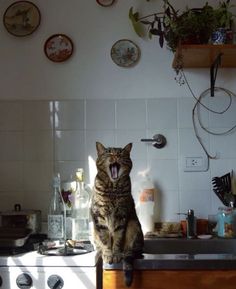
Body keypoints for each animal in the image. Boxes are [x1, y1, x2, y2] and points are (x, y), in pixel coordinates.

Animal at [90, 142, 144, 286]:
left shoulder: (122, 216)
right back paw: (100, 251)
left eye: (120, 154)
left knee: (131, 250)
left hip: (133, 225)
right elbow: (104, 239)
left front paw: (116, 254)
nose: (114, 156)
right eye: (108, 153)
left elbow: (118, 238)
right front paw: (108, 254)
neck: (112, 188)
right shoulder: (99, 217)